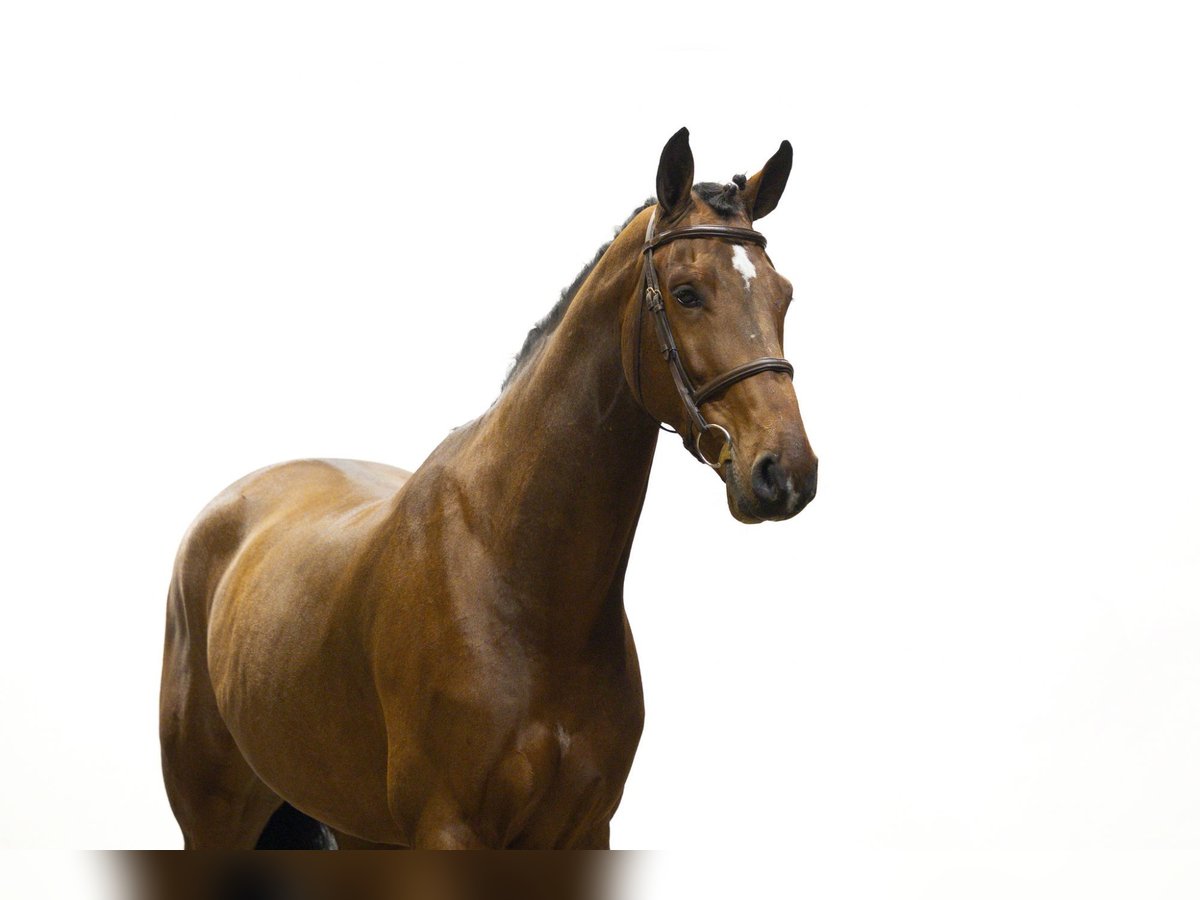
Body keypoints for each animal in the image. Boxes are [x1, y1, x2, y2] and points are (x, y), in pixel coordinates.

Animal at [159, 127, 819, 849]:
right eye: (686, 291)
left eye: (784, 294)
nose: (785, 472)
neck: (516, 572)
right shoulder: (450, 827)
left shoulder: (586, 828)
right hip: (214, 818)